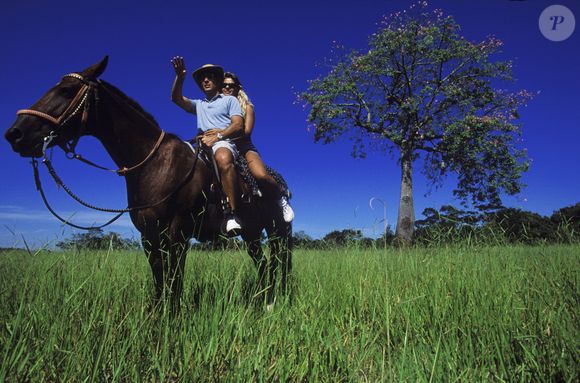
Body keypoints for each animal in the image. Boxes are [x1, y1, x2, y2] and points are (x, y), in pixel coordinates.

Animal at [3, 57, 292, 308]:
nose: (14, 134)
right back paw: (264, 300)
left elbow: (174, 284)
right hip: (252, 232)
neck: (155, 163)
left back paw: (272, 301)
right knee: (264, 264)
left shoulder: (177, 235)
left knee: (279, 263)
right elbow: (160, 283)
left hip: (278, 231)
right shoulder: (149, 237)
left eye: (66, 90)